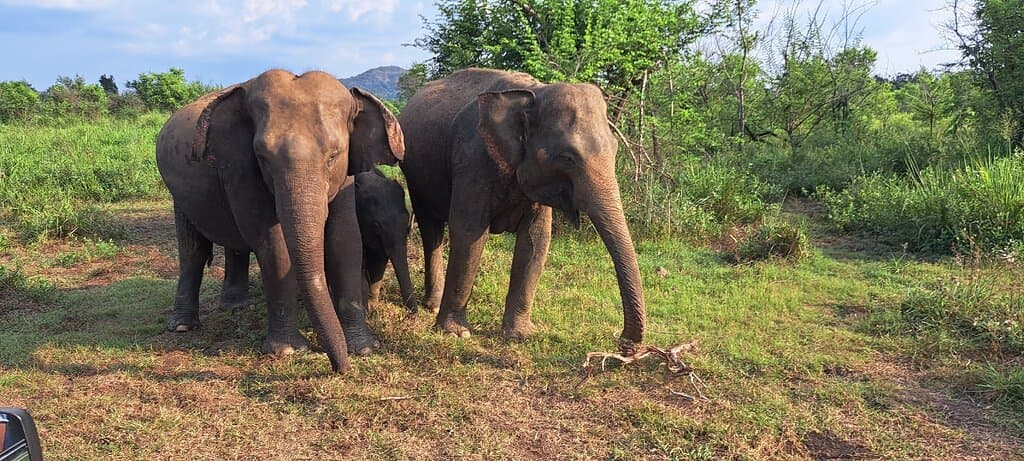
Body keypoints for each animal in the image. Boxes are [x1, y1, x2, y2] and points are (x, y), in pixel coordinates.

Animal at [156, 69, 405, 372]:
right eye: (263, 157)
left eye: (334, 156)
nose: (340, 368)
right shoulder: (241, 165)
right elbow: (272, 242)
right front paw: (288, 351)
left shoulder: (346, 177)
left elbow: (345, 238)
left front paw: (365, 348)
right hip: (178, 195)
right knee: (193, 250)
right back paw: (182, 326)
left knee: (233, 246)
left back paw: (236, 307)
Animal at [399, 68, 646, 348]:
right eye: (567, 158)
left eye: (615, 150)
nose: (622, 341)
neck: (535, 92)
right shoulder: (473, 160)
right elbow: (469, 233)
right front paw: (456, 333)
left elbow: (536, 240)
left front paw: (520, 335)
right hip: (416, 177)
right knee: (431, 230)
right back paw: (431, 305)